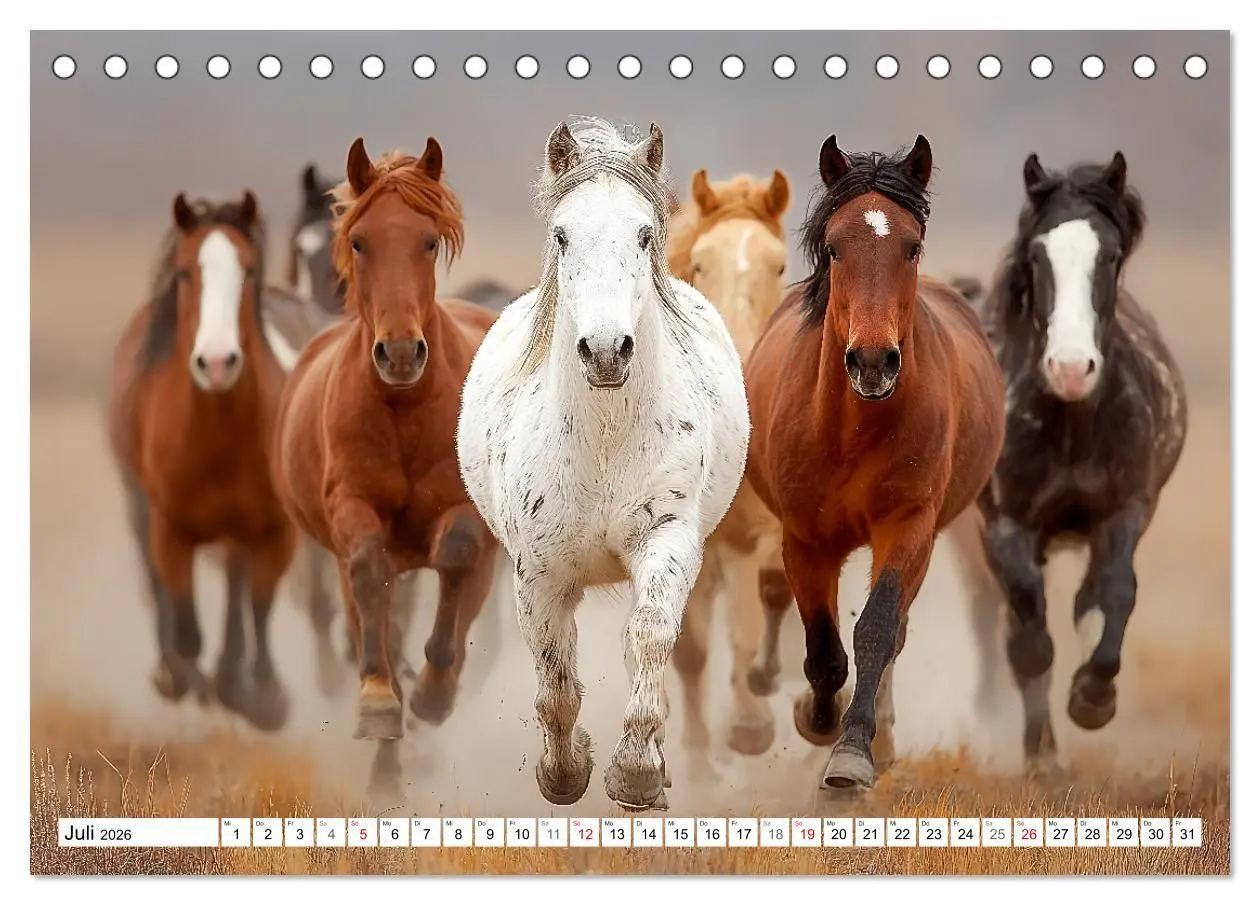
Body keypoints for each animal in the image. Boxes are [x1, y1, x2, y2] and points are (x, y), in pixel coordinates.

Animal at [106, 191, 296, 732]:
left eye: (248, 270)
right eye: (186, 272)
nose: (215, 362)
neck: (217, 433)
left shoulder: (273, 529)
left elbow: (259, 603)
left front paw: (261, 696)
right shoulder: (170, 528)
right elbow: (185, 622)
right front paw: (184, 675)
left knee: (236, 590)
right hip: (137, 504)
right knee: (157, 585)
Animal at [272, 137, 500, 777]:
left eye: (428, 240)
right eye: (359, 240)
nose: (399, 353)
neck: (405, 409)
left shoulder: (460, 514)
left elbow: (456, 556)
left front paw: (435, 690)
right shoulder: (352, 510)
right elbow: (367, 579)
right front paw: (379, 697)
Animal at [456, 117, 750, 810]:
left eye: (644, 234)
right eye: (562, 235)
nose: (607, 350)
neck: (605, 443)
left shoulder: (668, 542)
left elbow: (649, 638)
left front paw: (636, 773)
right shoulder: (537, 573)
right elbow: (555, 682)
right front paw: (565, 772)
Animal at [742, 135, 1006, 789]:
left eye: (911, 246)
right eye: (835, 247)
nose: (872, 361)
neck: (853, 430)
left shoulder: (909, 524)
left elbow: (877, 631)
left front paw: (852, 751)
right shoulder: (806, 538)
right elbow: (822, 647)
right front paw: (816, 718)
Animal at [949, 152, 1187, 770]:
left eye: (1111, 255)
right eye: (1038, 255)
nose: (1072, 368)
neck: (1072, 429)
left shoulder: (1123, 512)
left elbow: (1111, 597)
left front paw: (1093, 698)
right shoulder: (1007, 528)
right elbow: (1030, 640)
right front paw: (1043, 758)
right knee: (997, 622)